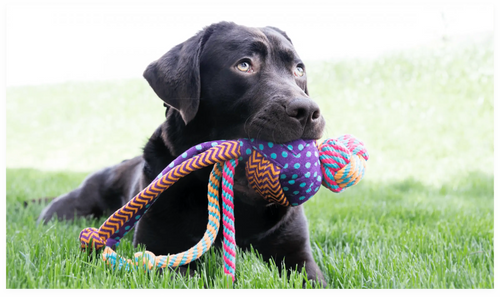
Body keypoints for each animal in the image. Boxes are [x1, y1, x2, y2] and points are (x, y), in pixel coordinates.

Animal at [40, 20, 328, 284]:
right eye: (244, 65)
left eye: (298, 69)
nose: (307, 111)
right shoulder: (161, 252)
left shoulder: (299, 256)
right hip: (66, 210)